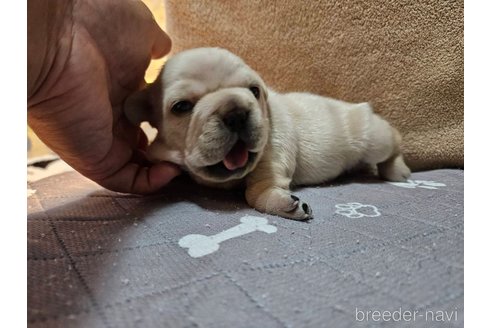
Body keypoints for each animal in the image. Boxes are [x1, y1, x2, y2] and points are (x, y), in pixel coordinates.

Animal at [124, 47, 412, 220]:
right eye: (181, 107)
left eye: (254, 91)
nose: (236, 113)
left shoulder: (273, 150)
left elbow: (258, 187)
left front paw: (282, 202)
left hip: (374, 139)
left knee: (393, 142)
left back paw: (397, 170)